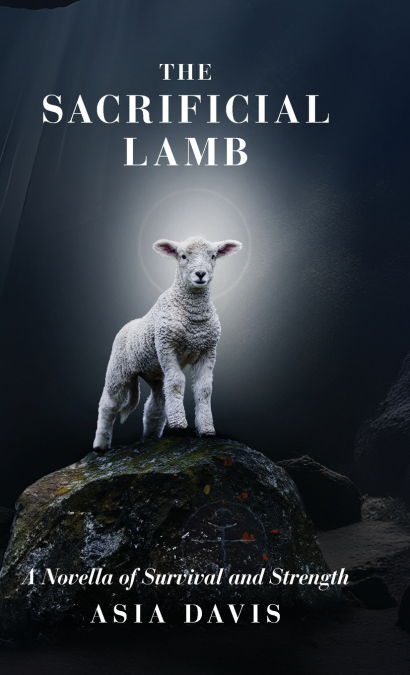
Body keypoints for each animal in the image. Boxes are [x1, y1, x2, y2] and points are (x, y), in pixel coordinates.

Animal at [93, 236, 242, 451]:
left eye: (213, 256)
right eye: (183, 256)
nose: (200, 274)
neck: (194, 316)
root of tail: (129, 324)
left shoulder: (208, 350)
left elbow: (204, 389)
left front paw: (206, 429)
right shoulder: (167, 346)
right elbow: (177, 382)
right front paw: (179, 424)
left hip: (155, 373)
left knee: (155, 404)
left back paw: (150, 438)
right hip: (119, 369)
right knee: (109, 404)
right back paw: (100, 445)